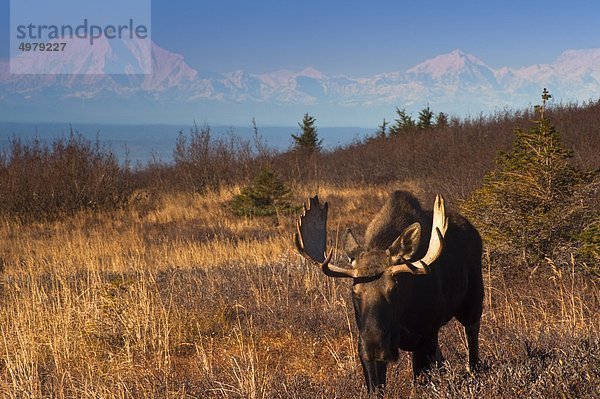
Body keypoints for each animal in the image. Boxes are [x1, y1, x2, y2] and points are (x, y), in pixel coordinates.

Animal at [292, 191, 482, 394]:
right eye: (355, 292)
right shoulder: (367, 352)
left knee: (472, 341)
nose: (373, 345)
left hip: (472, 302)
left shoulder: (426, 335)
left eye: (394, 289)